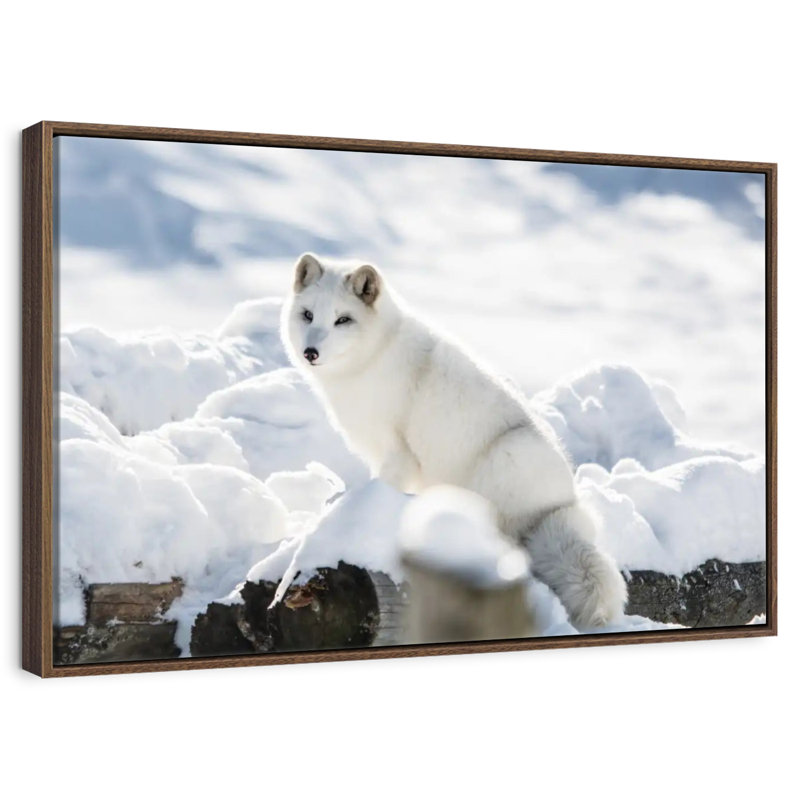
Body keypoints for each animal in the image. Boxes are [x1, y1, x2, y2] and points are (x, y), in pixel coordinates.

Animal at [281, 252, 627, 629]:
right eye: (308, 315)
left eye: (342, 320)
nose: (310, 352)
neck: (374, 357)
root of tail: (563, 505)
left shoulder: (398, 453)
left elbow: (378, 488)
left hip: (505, 457)